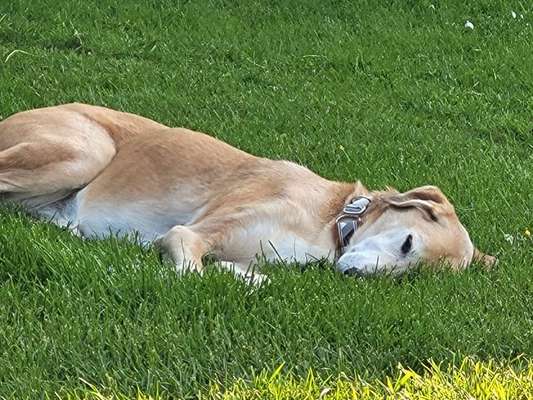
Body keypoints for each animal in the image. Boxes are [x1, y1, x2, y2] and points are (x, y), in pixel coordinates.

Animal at [0, 104, 494, 282]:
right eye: (408, 243)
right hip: (86, 151)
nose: (356, 278)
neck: (331, 220)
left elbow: (242, 272)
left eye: (412, 277)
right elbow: (192, 270)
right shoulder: (187, 234)